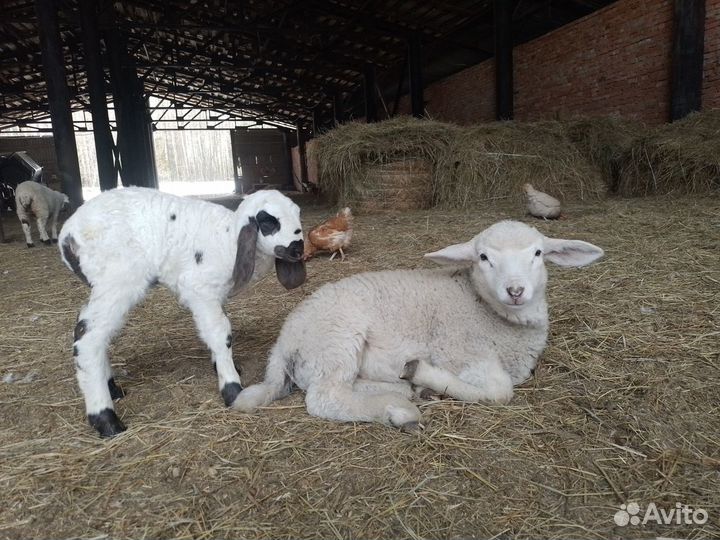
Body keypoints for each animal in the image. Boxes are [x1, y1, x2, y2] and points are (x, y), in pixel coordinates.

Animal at [59, 188, 306, 436]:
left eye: (298, 214)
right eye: (268, 221)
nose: (297, 249)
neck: (228, 240)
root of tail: (67, 234)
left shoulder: (212, 295)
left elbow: (214, 329)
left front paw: (222, 365)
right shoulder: (198, 289)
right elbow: (221, 334)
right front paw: (231, 388)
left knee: (97, 334)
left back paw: (111, 388)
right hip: (117, 280)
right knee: (87, 338)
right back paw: (105, 419)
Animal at [235, 218, 600, 426]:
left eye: (538, 254)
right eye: (483, 257)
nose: (515, 291)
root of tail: (283, 342)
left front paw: (423, 382)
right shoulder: (458, 351)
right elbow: (499, 392)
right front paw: (427, 374)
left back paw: (404, 393)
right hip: (337, 337)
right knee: (326, 397)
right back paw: (398, 410)